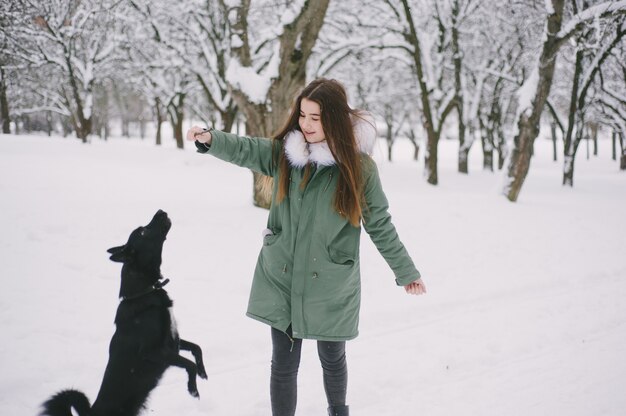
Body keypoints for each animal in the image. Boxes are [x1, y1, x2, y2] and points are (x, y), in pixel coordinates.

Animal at [41, 211, 207, 416]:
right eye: (143, 232)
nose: (161, 211)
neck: (143, 292)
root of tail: (91, 412)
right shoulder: (153, 351)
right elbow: (189, 364)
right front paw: (193, 389)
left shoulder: (173, 340)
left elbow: (197, 348)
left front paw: (203, 372)